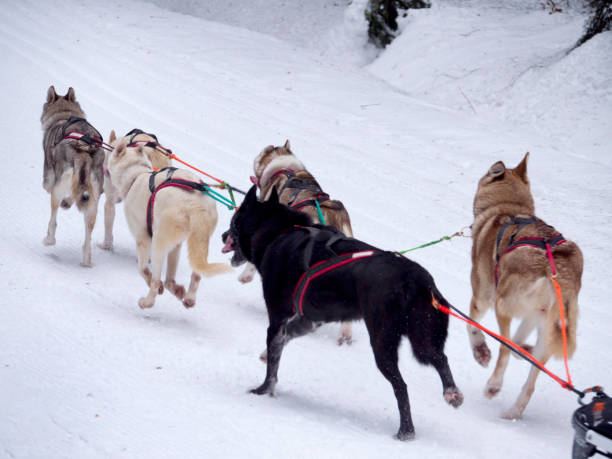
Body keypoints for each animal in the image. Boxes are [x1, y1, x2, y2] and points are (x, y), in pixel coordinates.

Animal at [222, 187, 462, 442]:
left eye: (234, 220)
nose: (222, 234)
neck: (280, 232)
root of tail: (415, 279)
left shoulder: (277, 318)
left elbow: (273, 364)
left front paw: (263, 390)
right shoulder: (309, 320)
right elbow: (286, 338)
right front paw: (265, 356)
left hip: (382, 343)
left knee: (401, 387)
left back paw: (405, 431)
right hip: (423, 338)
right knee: (440, 358)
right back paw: (451, 393)